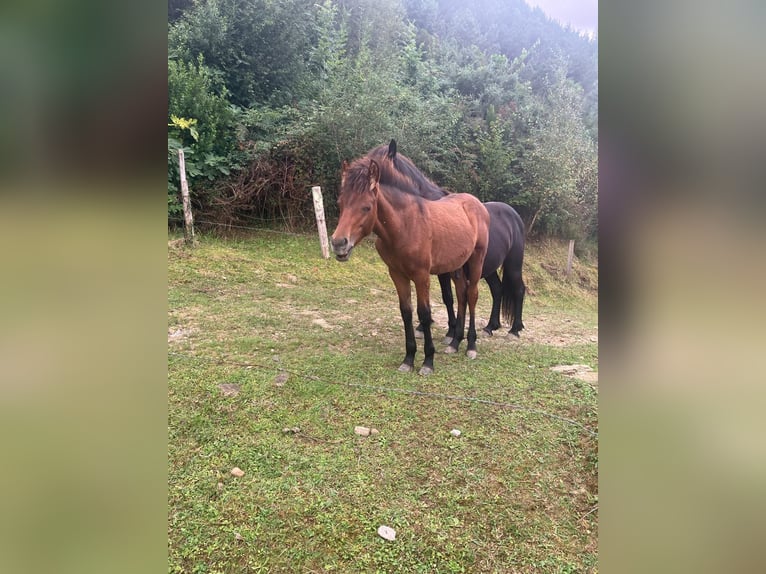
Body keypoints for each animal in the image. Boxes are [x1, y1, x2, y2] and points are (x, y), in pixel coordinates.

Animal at [332, 155, 492, 376]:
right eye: (341, 203)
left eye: (366, 207)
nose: (338, 243)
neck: (405, 226)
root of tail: (478, 204)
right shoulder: (397, 274)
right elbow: (406, 312)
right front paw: (408, 359)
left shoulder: (421, 276)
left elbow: (424, 314)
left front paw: (428, 361)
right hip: (456, 265)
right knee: (461, 294)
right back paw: (455, 343)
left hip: (476, 260)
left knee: (472, 295)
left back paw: (471, 346)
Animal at [368, 141, 524, 338]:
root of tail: (515, 216)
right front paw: (427, 327)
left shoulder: (444, 270)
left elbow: (448, 297)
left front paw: (451, 330)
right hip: (487, 267)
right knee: (497, 289)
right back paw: (491, 326)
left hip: (513, 264)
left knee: (519, 289)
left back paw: (515, 329)